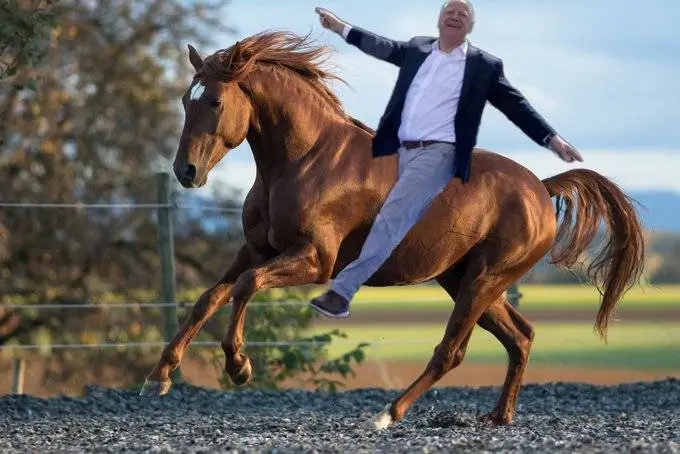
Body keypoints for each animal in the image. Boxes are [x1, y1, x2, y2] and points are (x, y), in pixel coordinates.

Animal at [140, 31, 645, 427]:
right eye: (185, 100)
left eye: (216, 101)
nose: (186, 171)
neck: (305, 160)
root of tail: (540, 188)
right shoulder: (256, 249)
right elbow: (210, 296)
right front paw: (158, 376)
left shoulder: (315, 260)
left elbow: (245, 286)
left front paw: (239, 366)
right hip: (465, 279)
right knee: (520, 337)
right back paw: (499, 416)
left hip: (483, 280)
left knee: (452, 351)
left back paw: (388, 414)